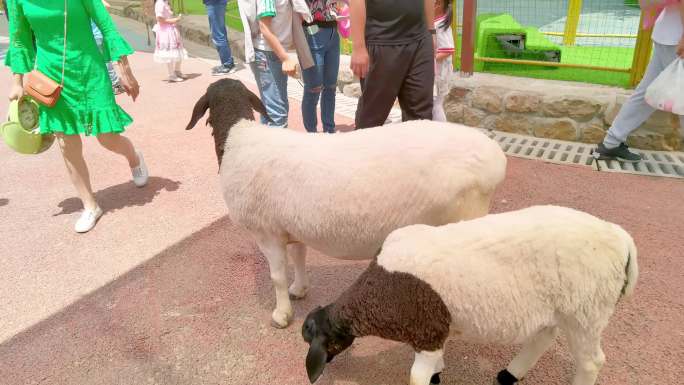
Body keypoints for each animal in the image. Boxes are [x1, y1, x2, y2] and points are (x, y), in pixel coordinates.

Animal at [187, 78, 508, 328]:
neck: (236, 137)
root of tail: (495, 159)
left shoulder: (266, 232)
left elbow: (276, 276)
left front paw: (281, 315)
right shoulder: (291, 228)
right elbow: (299, 259)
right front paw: (299, 290)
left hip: (464, 219)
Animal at [302, 204, 640, 384]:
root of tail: (621, 238)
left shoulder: (427, 332)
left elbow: (416, 376)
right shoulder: (433, 332)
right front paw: (439, 373)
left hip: (587, 310)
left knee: (591, 361)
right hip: (561, 308)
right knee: (543, 337)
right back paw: (509, 374)